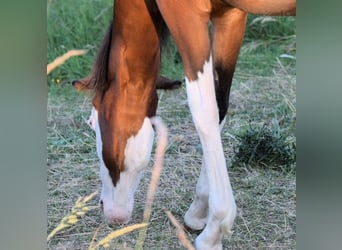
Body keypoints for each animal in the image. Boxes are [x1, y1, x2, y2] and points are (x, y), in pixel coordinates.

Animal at [71, 0, 294, 249]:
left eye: (92, 122)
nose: (105, 207)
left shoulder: (186, 14)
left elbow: (204, 111)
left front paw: (214, 230)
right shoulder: (230, 16)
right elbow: (220, 104)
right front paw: (199, 212)